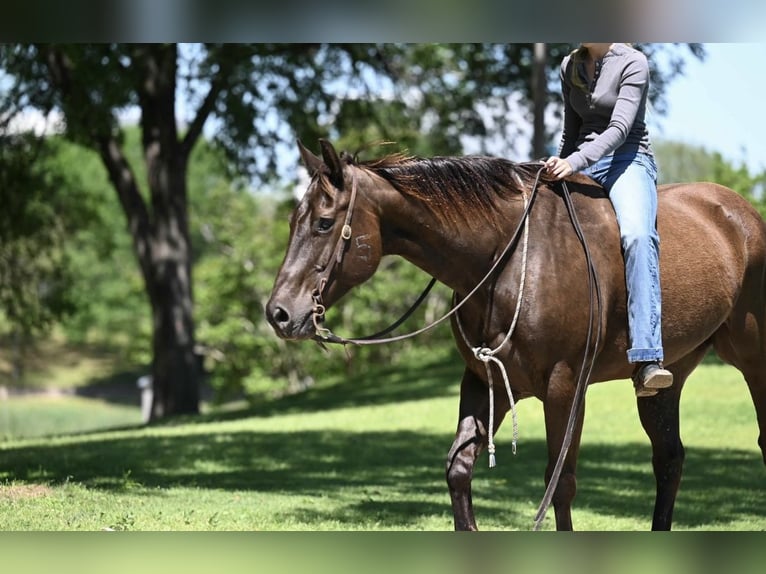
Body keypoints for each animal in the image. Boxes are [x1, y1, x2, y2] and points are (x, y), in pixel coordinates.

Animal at [268, 138, 766, 532]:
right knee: (669, 459)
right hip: (666, 379)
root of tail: (741, 214)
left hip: (752, 360)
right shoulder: (483, 381)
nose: (279, 313)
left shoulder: (565, 387)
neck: (503, 259)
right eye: (293, 221)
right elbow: (458, 469)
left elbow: (560, 485)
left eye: (324, 223)